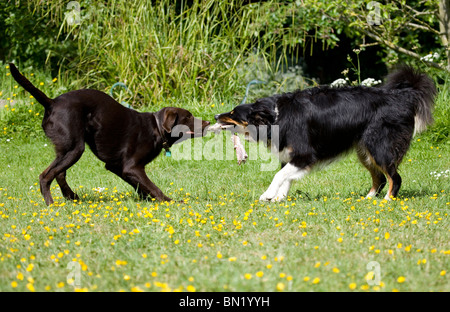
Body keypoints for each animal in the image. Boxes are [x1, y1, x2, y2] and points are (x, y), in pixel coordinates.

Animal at [8, 63, 209, 205]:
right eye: (189, 116)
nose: (207, 122)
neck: (157, 128)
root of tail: (51, 102)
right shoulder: (131, 166)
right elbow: (152, 187)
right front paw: (170, 201)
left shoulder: (117, 166)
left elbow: (140, 186)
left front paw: (147, 199)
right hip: (75, 148)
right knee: (46, 176)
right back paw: (51, 203)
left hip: (65, 148)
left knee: (59, 173)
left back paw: (71, 196)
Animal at [214, 66, 436, 201]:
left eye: (233, 113)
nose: (215, 115)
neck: (274, 117)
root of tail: (403, 96)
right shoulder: (290, 156)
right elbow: (286, 177)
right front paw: (279, 198)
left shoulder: (305, 154)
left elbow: (279, 175)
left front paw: (268, 195)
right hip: (364, 151)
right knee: (380, 178)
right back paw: (368, 199)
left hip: (379, 146)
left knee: (394, 177)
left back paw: (388, 200)